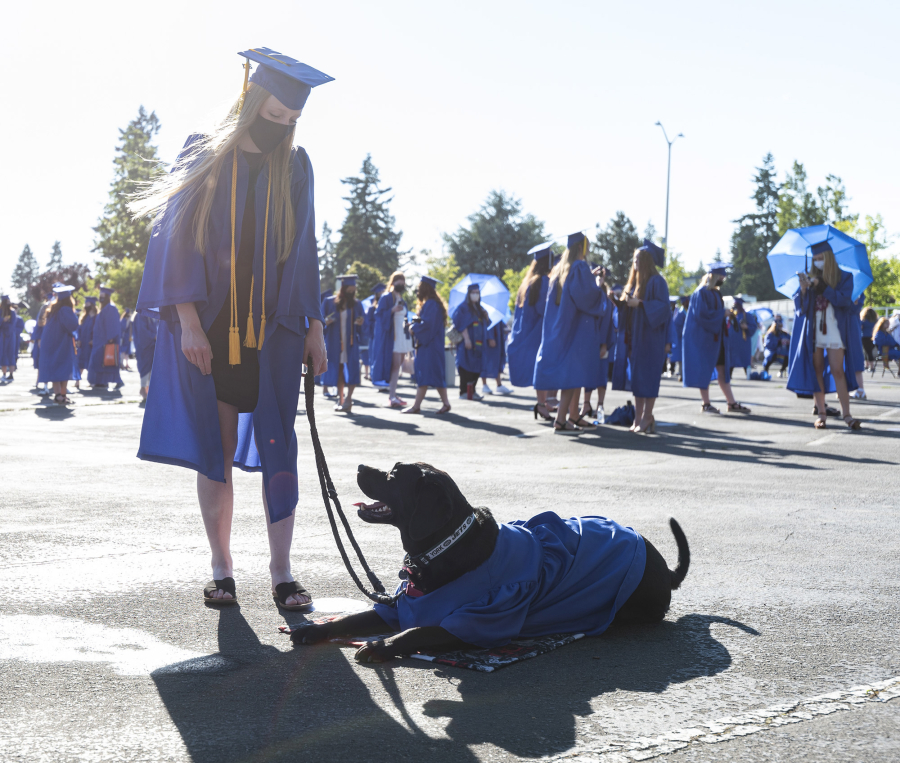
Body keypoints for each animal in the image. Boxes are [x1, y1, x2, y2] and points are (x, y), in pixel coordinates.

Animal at [290, 462, 688, 664]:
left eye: (393, 475)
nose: (359, 465)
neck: (444, 548)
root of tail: (660, 563)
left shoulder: (477, 620)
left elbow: (417, 631)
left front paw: (379, 646)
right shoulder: (396, 607)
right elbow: (349, 618)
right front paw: (314, 629)